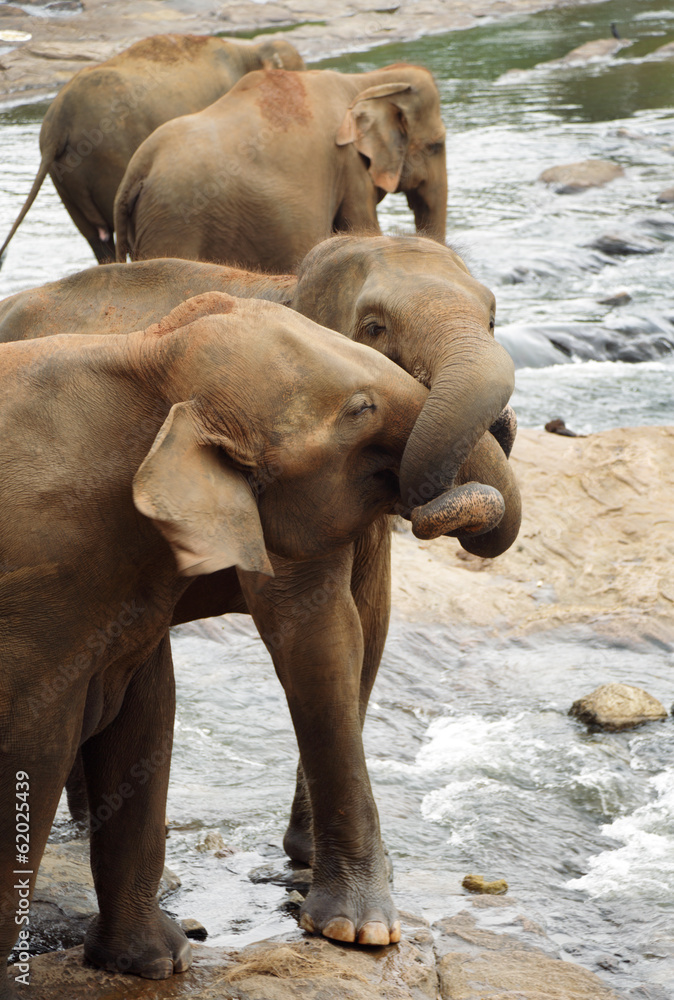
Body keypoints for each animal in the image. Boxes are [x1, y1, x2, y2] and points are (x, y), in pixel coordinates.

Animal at [0, 236, 520, 953]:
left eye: (495, 321)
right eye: (374, 327)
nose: (503, 430)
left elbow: (368, 632)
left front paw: (315, 869)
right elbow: (316, 634)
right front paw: (359, 931)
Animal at [113, 64, 448, 272]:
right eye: (436, 145)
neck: (364, 80)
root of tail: (137, 170)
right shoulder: (349, 166)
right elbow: (361, 228)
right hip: (174, 221)